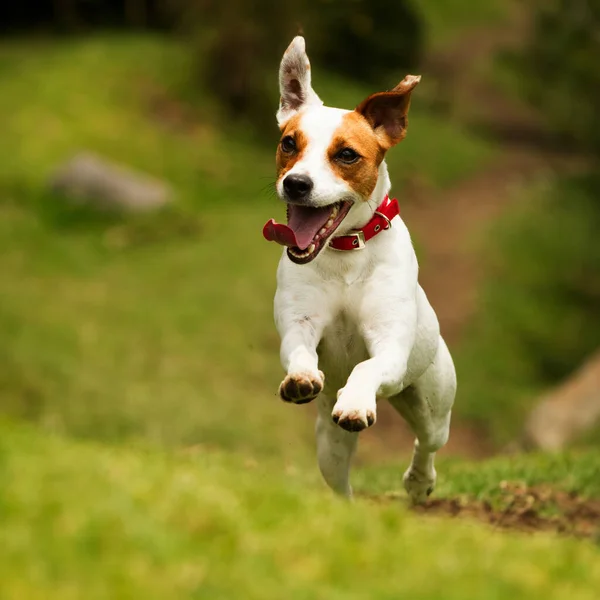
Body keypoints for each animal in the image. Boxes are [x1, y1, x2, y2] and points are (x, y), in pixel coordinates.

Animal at [262, 37, 454, 502]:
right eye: (289, 144)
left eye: (346, 154)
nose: (296, 183)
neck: (345, 254)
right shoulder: (300, 323)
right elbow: (299, 351)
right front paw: (300, 377)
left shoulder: (390, 345)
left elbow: (367, 366)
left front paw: (354, 402)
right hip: (329, 447)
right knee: (341, 487)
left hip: (432, 401)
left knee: (427, 441)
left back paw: (419, 481)